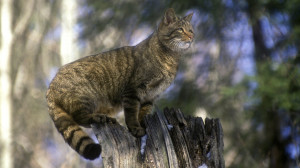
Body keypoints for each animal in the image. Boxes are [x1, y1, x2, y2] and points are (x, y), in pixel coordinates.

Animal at [45, 8, 193, 160]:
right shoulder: (133, 91)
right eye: (180, 29)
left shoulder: (150, 97)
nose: (191, 37)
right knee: (80, 118)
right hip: (85, 97)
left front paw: (142, 126)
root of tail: (51, 85)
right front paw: (136, 129)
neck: (171, 59)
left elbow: (143, 113)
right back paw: (99, 117)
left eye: (191, 30)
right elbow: (131, 114)